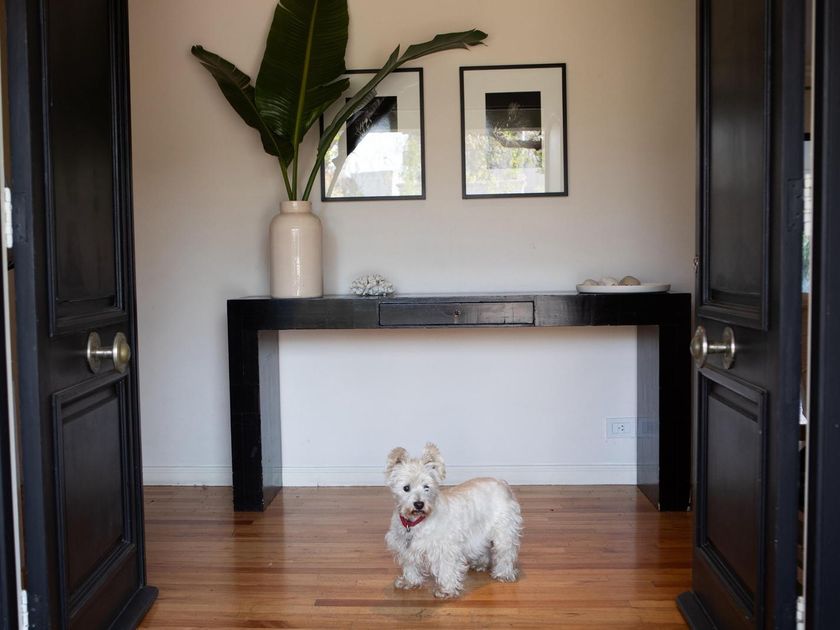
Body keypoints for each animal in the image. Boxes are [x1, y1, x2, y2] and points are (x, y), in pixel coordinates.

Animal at [384, 443, 522, 598]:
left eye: (427, 487)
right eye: (406, 488)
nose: (419, 504)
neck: (415, 522)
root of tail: (502, 483)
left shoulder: (445, 548)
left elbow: (446, 568)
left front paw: (446, 590)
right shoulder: (405, 547)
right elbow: (410, 565)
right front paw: (409, 582)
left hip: (504, 531)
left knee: (505, 552)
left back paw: (504, 574)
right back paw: (480, 564)